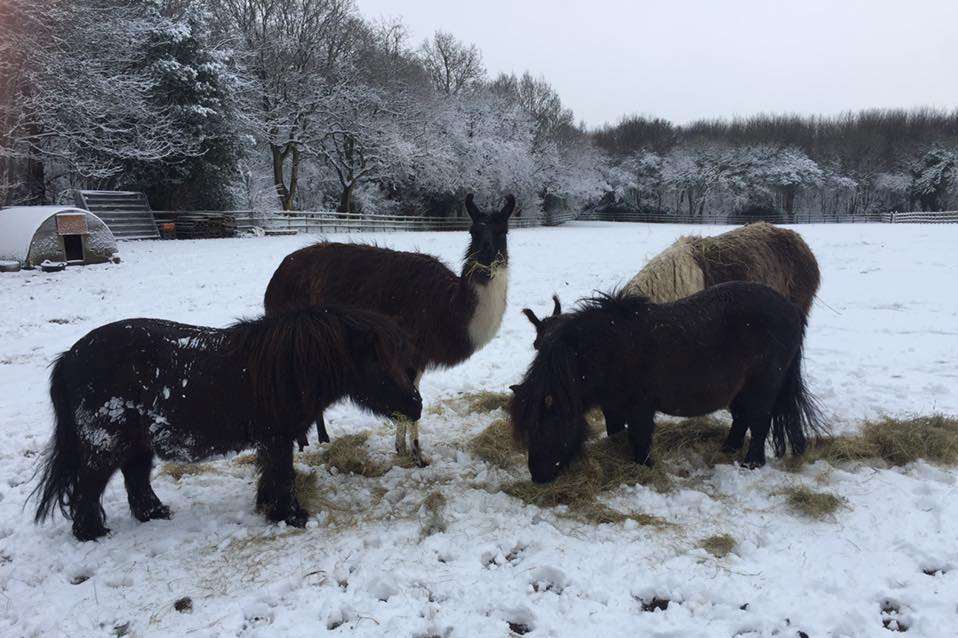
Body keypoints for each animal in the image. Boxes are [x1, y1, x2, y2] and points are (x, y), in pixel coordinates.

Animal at [31, 308, 422, 544]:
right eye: (380, 362)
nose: (415, 405)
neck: (289, 368)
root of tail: (69, 359)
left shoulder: (272, 440)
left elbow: (272, 473)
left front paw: (270, 507)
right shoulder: (277, 437)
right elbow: (283, 474)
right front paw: (291, 515)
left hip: (136, 443)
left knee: (135, 479)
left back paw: (154, 514)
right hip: (105, 444)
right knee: (88, 488)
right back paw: (92, 533)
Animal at [262, 191, 516, 464]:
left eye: (503, 231)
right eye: (473, 232)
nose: (486, 256)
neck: (449, 308)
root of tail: (278, 274)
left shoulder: (415, 355)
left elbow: (412, 395)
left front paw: (401, 448)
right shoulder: (409, 349)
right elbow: (413, 398)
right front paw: (416, 454)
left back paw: (318, 438)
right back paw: (306, 440)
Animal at [510, 282, 824, 482]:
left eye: (547, 427)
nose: (538, 477)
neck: (607, 349)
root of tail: (791, 308)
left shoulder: (640, 407)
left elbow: (640, 438)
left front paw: (645, 467)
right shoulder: (613, 407)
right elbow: (617, 433)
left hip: (763, 386)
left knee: (760, 421)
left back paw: (751, 463)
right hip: (740, 390)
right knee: (742, 419)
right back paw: (728, 449)